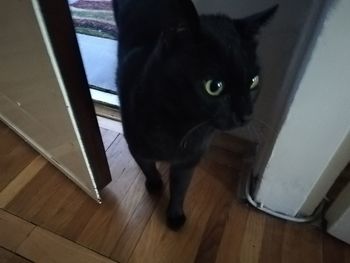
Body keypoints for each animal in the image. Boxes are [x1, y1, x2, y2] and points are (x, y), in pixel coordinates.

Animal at [112, 0, 276, 231]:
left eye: (253, 81)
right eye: (214, 86)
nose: (246, 114)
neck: (182, 124)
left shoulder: (189, 159)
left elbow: (180, 187)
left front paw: (175, 215)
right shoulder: (136, 146)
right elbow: (147, 166)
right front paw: (155, 184)